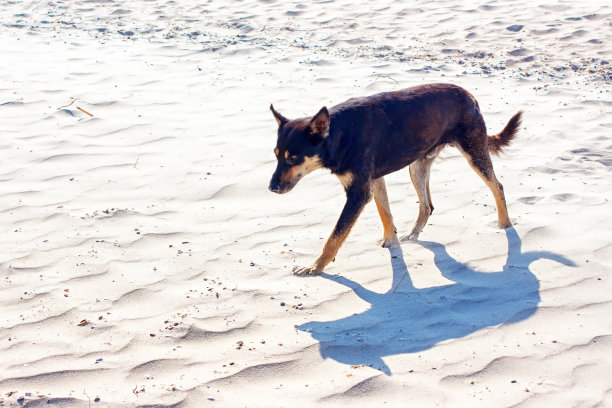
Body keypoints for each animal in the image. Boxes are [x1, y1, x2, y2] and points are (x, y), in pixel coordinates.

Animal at [268, 82, 520, 274]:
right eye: (276, 155)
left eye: (294, 158)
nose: (271, 188)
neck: (338, 133)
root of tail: (469, 95)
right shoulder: (374, 180)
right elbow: (385, 212)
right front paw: (392, 241)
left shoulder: (358, 193)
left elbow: (334, 237)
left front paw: (315, 266)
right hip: (417, 165)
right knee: (427, 205)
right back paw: (413, 234)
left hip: (474, 153)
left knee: (497, 186)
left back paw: (505, 223)